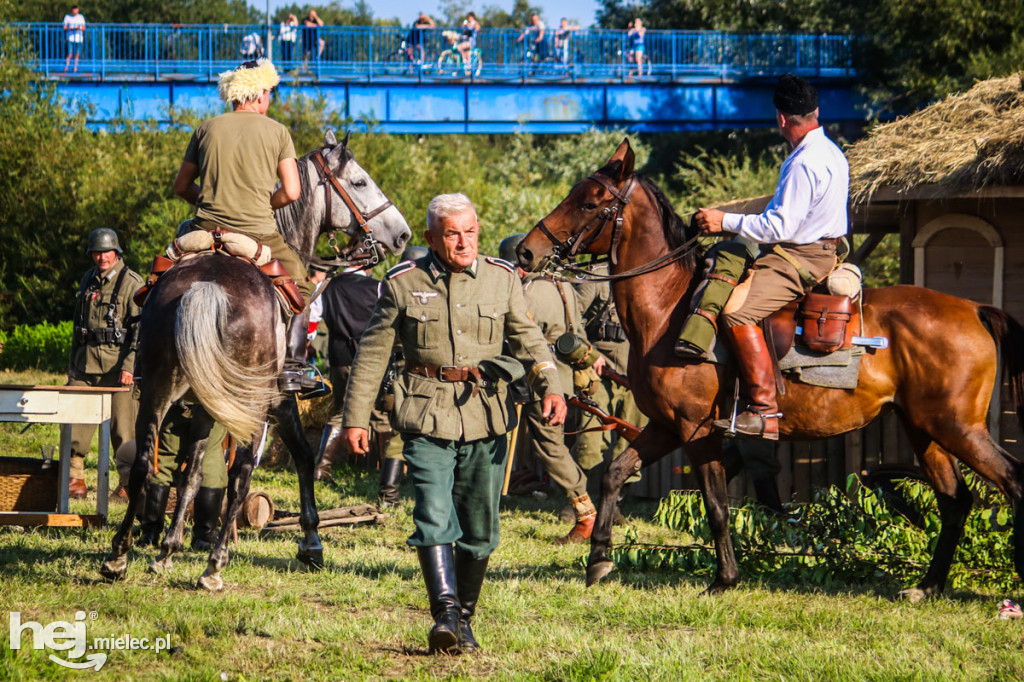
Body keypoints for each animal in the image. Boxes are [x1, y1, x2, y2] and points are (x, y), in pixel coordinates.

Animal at [99, 131, 409, 589]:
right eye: (359, 182)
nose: (402, 234)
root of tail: (206, 285)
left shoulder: (206, 404)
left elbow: (192, 471)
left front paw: (168, 548)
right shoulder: (280, 399)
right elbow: (299, 457)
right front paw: (310, 541)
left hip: (160, 389)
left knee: (144, 463)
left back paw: (119, 556)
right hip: (249, 399)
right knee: (242, 470)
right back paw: (214, 564)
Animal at [516, 139, 1024, 593]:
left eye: (589, 202)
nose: (526, 252)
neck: (669, 308)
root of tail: (974, 308)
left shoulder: (696, 431)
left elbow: (717, 505)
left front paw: (724, 579)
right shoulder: (664, 425)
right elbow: (615, 474)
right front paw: (599, 560)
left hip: (956, 427)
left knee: (1011, 481)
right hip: (925, 429)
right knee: (955, 500)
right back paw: (929, 585)